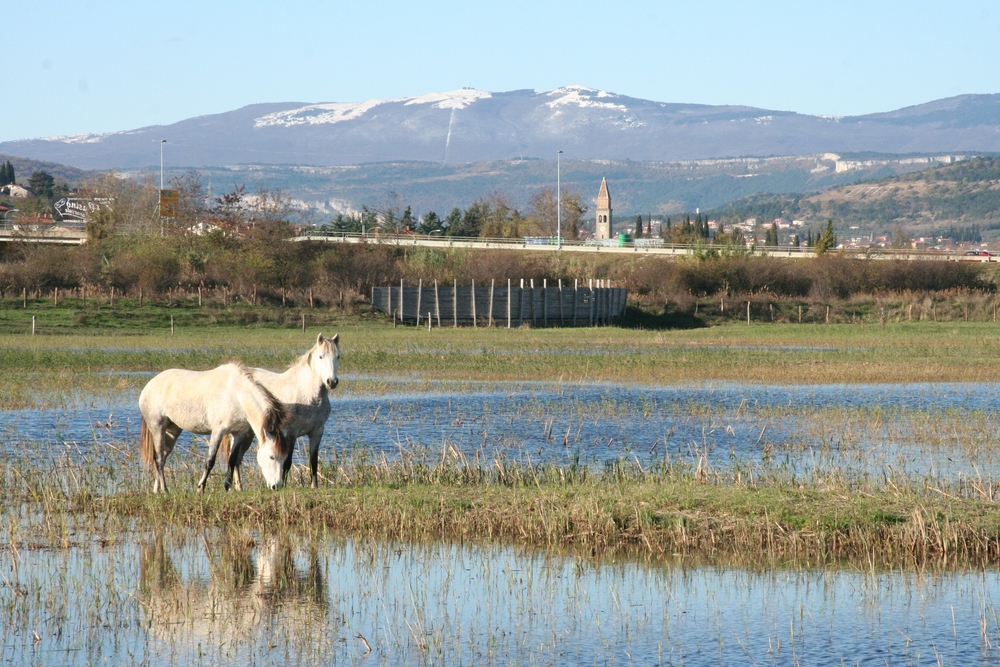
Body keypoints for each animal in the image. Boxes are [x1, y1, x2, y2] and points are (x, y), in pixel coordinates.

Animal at [139, 362, 292, 494]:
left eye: (284, 457)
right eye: (272, 457)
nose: (276, 486)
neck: (236, 394)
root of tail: (149, 385)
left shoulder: (239, 433)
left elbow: (232, 460)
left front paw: (227, 487)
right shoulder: (218, 432)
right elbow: (210, 461)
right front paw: (200, 488)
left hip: (173, 430)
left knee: (163, 457)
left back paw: (157, 490)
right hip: (157, 427)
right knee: (158, 458)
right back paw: (165, 490)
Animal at [225, 334, 338, 490]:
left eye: (337, 356)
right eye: (321, 356)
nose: (332, 382)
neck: (308, 394)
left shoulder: (317, 432)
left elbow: (313, 461)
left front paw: (314, 486)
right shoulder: (291, 434)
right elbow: (287, 462)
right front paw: (282, 485)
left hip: (249, 433)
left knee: (237, 459)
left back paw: (239, 487)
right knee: (234, 457)